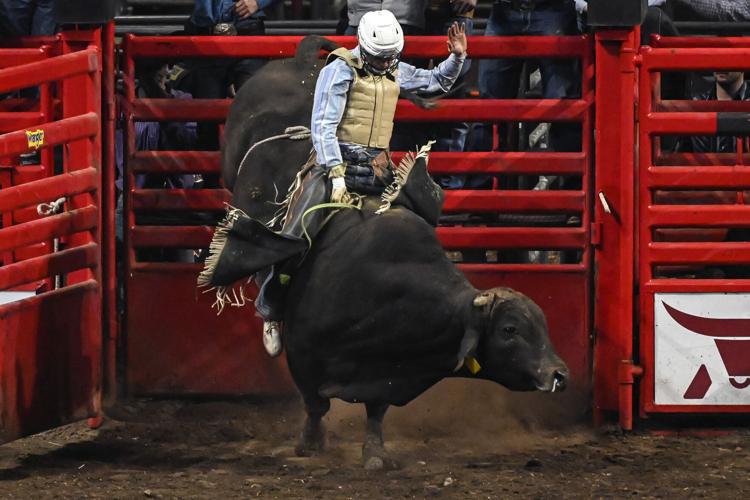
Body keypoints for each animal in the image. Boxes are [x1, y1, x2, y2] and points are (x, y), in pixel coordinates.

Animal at [218, 36, 569, 470]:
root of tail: (302, 63)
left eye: (542, 324)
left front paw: (373, 452)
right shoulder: (304, 355)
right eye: (510, 330)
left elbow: (376, 410)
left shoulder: (387, 371)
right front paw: (310, 444)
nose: (558, 374)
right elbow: (316, 404)